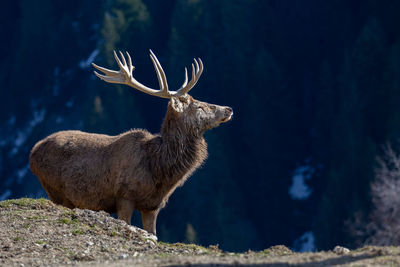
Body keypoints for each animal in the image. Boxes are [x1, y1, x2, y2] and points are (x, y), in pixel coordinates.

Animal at [29, 49, 233, 236]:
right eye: (199, 106)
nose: (228, 109)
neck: (158, 168)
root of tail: (32, 152)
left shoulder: (153, 205)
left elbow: (153, 234)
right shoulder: (124, 196)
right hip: (55, 190)